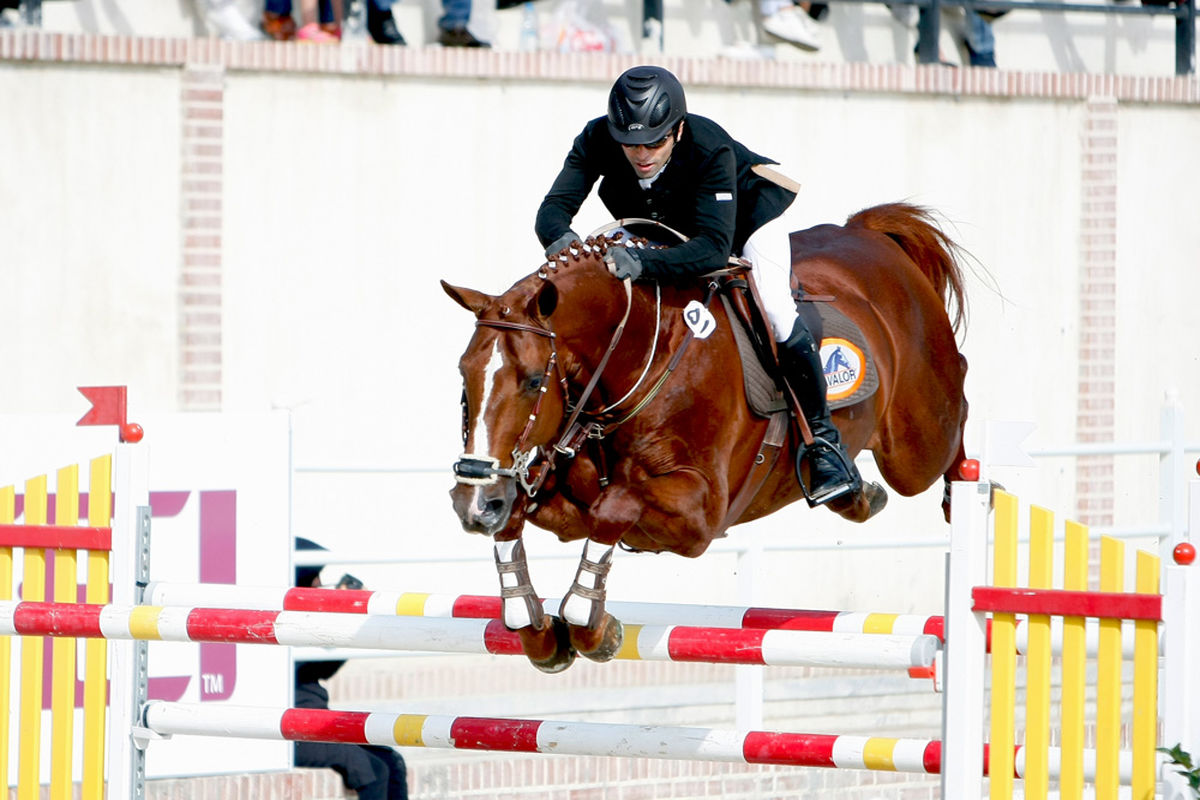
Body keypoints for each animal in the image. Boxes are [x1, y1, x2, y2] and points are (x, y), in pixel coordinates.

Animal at [446, 201, 969, 676]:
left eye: (534, 381)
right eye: (463, 373)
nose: (473, 504)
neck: (639, 357)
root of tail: (869, 235)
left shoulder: (700, 515)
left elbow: (613, 508)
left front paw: (590, 625)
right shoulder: (566, 505)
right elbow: (521, 515)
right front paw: (534, 628)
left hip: (916, 443)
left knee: (957, 407)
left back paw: (958, 491)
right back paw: (855, 493)